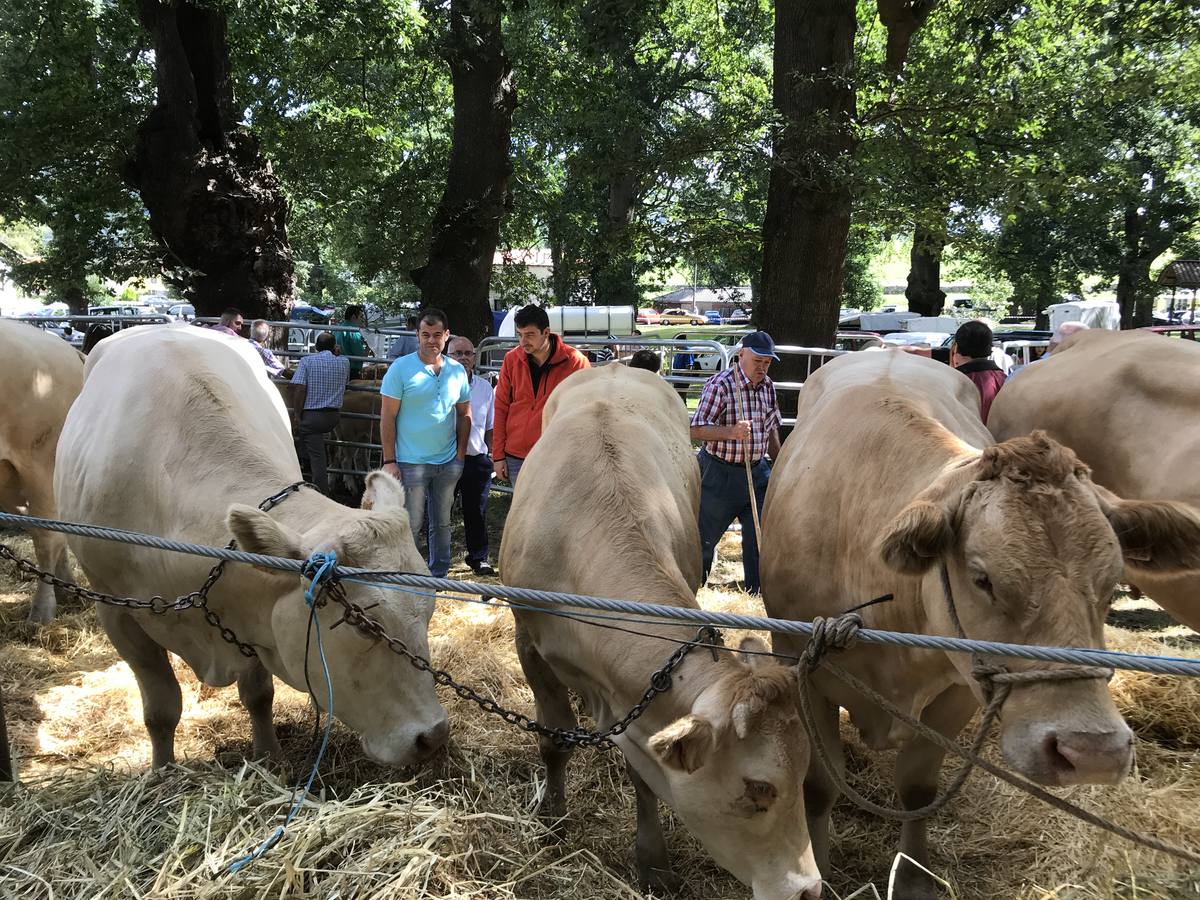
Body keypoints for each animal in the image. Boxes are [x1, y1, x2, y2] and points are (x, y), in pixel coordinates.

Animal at [56, 328, 451, 772]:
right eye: (363, 623)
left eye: (429, 610)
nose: (433, 736)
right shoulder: (116, 612)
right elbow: (161, 708)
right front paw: (162, 770)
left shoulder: (256, 615)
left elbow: (259, 695)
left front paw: (268, 755)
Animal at [499, 364, 825, 900]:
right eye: (758, 787)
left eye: (803, 772)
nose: (807, 889)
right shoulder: (528, 640)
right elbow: (553, 740)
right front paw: (552, 817)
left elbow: (643, 774)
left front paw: (652, 860)